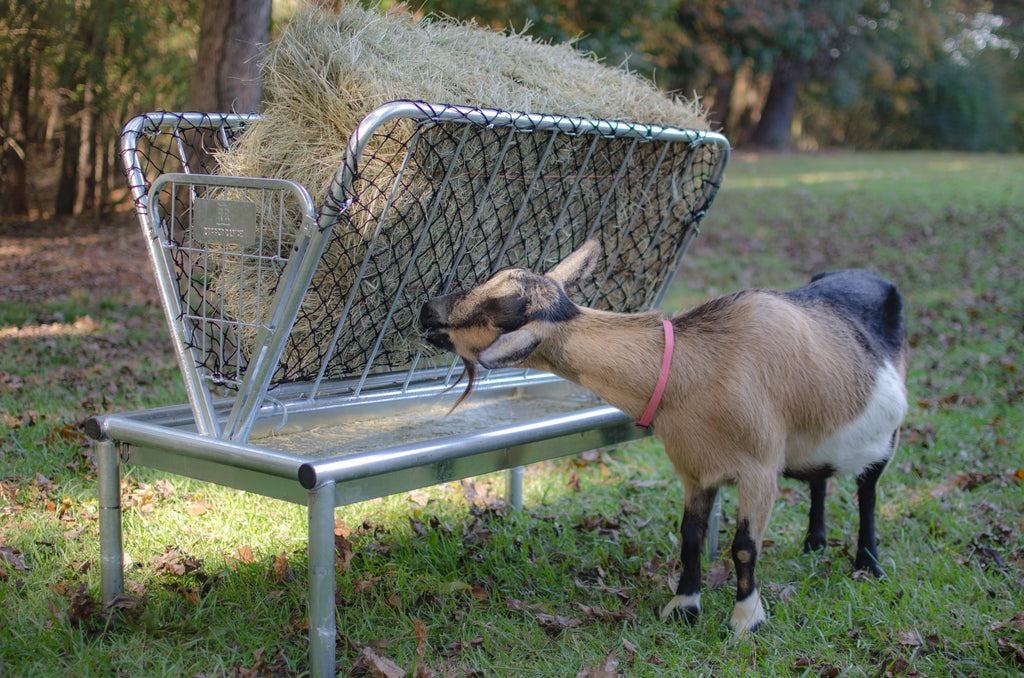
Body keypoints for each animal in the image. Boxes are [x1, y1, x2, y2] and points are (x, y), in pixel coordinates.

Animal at [420, 239, 909, 633]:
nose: (426, 310)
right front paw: (684, 606)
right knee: (821, 481)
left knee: (868, 491)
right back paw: (814, 543)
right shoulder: (696, 470)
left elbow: (745, 548)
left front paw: (746, 619)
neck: (693, 372)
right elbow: (689, 536)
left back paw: (868, 563)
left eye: (498, 308)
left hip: (889, 437)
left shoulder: (759, 470)